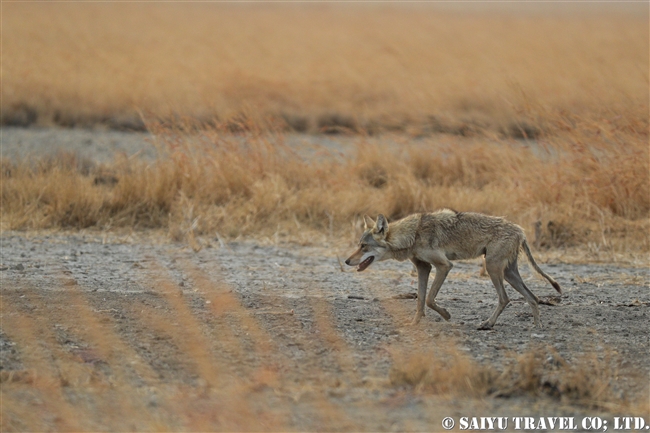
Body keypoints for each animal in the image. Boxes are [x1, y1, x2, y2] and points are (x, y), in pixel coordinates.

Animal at [344, 208, 560, 328]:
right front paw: (414, 323)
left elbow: (429, 299)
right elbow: (420, 301)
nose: (346, 261)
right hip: (507, 273)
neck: (413, 234)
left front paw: (446, 315)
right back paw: (537, 326)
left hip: (492, 268)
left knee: (506, 298)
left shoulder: (444, 266)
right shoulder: (423, 268)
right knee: (533, 297)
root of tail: (521, 231)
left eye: (363, 246)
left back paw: (488, 324)